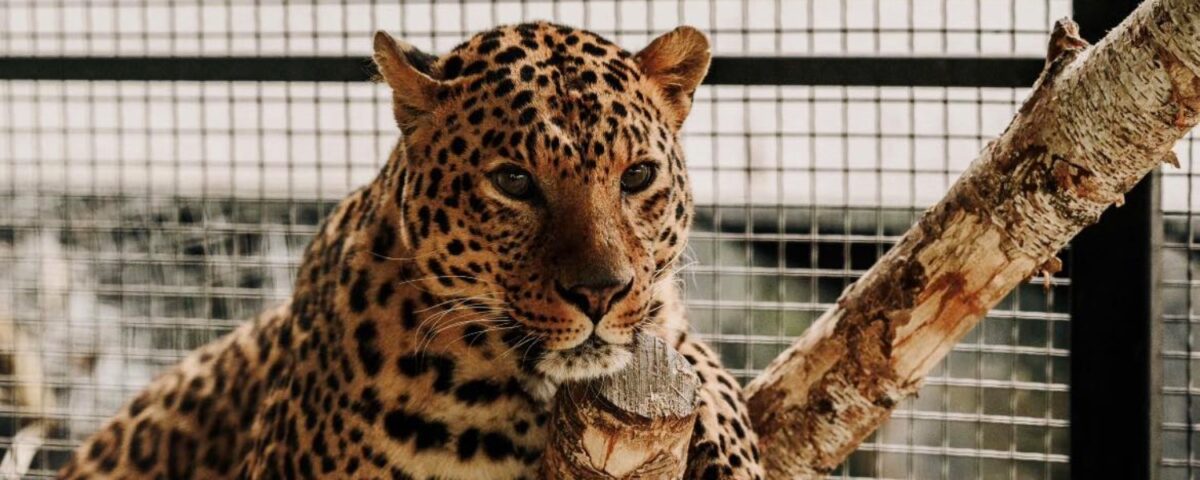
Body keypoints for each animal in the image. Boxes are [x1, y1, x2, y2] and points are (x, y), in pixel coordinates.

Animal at [59, 21, 763, 480]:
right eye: (514, 181)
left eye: (638, 176)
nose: (600, 293)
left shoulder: (665, 318)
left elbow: (707, 369)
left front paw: (732, 455)